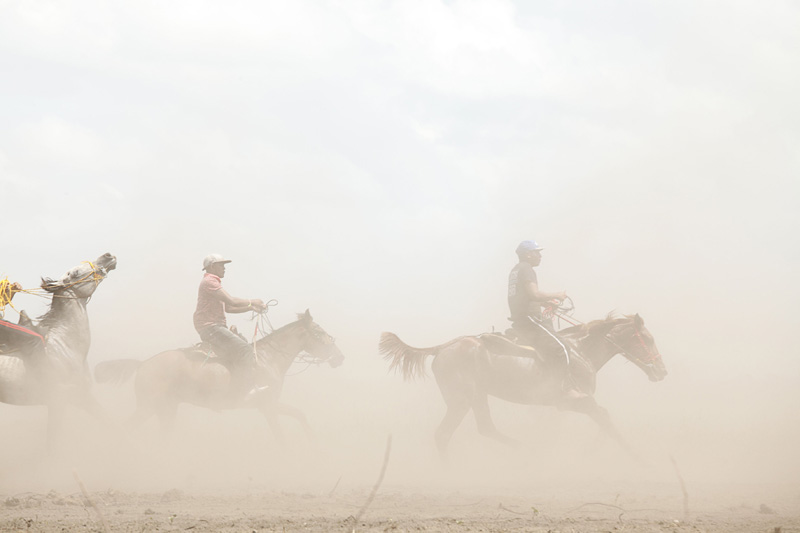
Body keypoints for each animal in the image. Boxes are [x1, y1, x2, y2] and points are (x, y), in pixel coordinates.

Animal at [0, 254, 117, 448]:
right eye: (74, 273)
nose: (107, 256)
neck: (65, 346)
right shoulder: (58, 402)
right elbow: (52, 444)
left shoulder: (82, 396)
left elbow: (110, 422)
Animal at [94, 310, 344, 442]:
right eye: (319, 332)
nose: (339, 356)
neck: (268, 358)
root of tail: (143, 364)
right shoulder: (268, 406)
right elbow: (281, 434)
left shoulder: (270, 404)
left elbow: (299, 415)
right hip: (148, 407)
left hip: (167, 408)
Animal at [378, 312, 664, 458]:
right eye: (648, 339)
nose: (662, 371)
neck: (580, 350)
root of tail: (443, 347)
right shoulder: (572, 401)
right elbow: (605, 417)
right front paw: (636, 455)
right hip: (461, 400)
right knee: (443, 434)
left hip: (477, 397)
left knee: (485, 428)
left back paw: (525, 450)